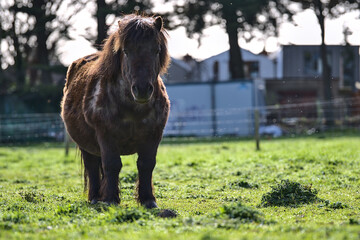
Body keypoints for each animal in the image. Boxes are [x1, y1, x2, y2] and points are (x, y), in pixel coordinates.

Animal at [60, 14, 170, 208]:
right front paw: (110, 199)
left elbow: (146, 164)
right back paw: (96, 197)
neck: (133, 111)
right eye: (126, 51)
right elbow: (112, 165)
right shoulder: (106, 135)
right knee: (92, 166)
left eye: (156, 50)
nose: (142, 89)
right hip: (86, 144)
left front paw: (148, 200)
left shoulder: (154, 135)